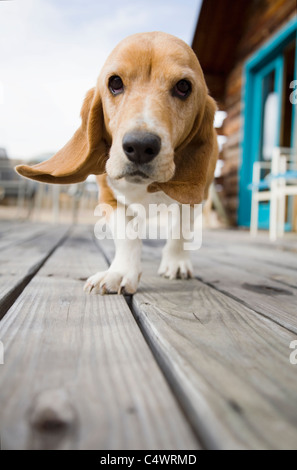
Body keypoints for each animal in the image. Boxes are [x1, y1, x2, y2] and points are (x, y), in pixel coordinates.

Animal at [16, 33, 217, 296]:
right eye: (115, 82)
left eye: (183, 87)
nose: (140, 146)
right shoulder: (108, 198)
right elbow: (127, 235)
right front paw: (119, 273)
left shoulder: (195, 197)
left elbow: (180, 231)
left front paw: (175, 263)